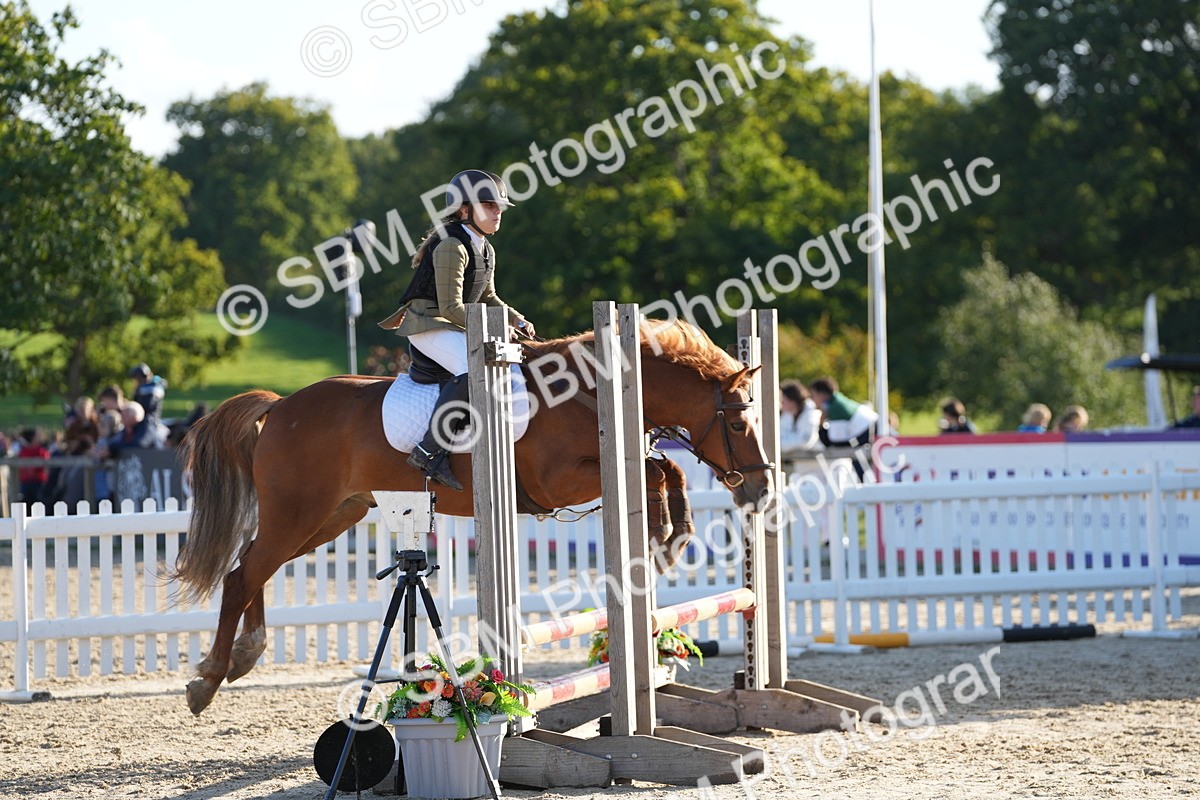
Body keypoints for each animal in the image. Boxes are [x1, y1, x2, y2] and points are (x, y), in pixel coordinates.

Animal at [173, 319, 775, 715]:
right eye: (737, 423)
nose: (764, 487)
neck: (586, 391)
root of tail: (280, 406)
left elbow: (664, 467)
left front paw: (673, 532)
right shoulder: (556, 481)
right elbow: (654, 469)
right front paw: (664, 533)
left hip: (331, 516)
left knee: (253, 570)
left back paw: (243, 656)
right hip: (298, 514)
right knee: (243, 575)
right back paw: (208, 680)